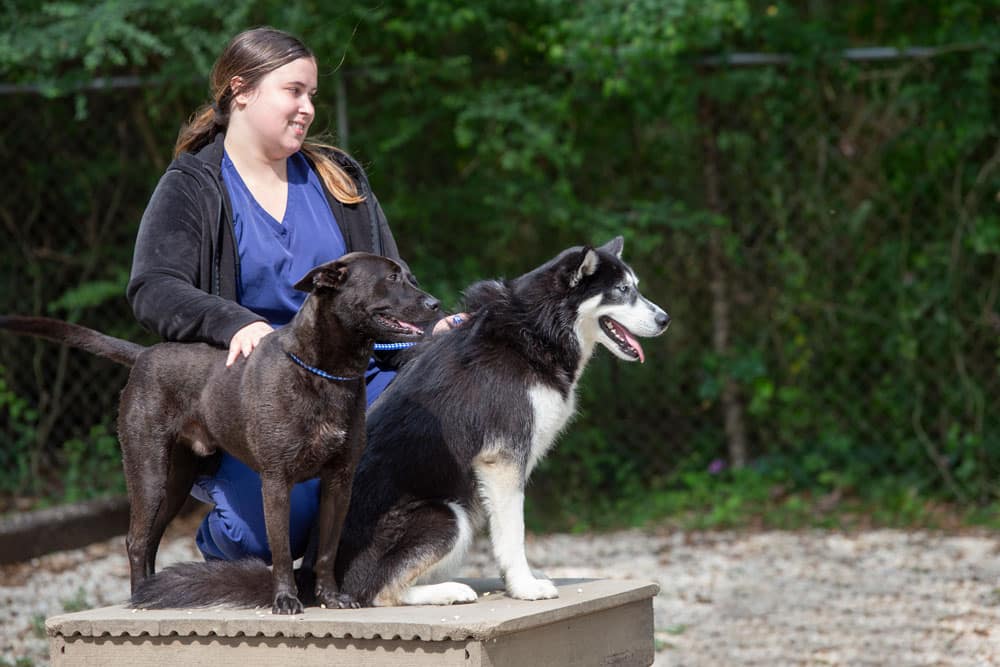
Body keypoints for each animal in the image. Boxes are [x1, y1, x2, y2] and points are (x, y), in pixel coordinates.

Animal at [0, 253, 438, 612]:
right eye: (392, 278)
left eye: (411, 276)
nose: (435, 305)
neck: (324, 372)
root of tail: (143, 355)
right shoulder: (276, 482)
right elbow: (281, 553)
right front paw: (285, 600)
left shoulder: (339, 482)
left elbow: (327, 552)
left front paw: (331, 598)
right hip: (148, 472)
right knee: (135, 540)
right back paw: (140, 597)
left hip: (177, 481)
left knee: (152, 538)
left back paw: (157, 593)